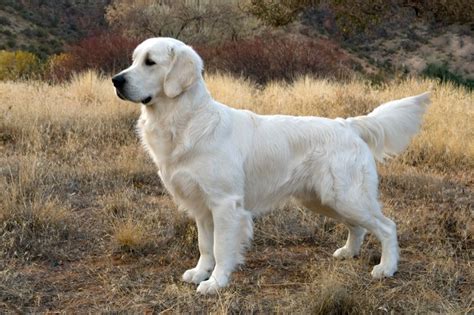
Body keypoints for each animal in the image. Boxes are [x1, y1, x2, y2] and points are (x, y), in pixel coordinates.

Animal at [112, 38, 430, 296]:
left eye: (150, 62)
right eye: (133, 59)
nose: (115, 80)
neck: (185, 120)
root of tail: (348, 124)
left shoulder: (225, 204)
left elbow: (221, 247)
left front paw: (215, 283)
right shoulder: (201, 206)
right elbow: (204, 245)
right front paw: (200, 272)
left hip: (347, 196)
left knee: (387, 226)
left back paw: (386, 268)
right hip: (324, 199)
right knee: (358, 227)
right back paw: (348, 252)